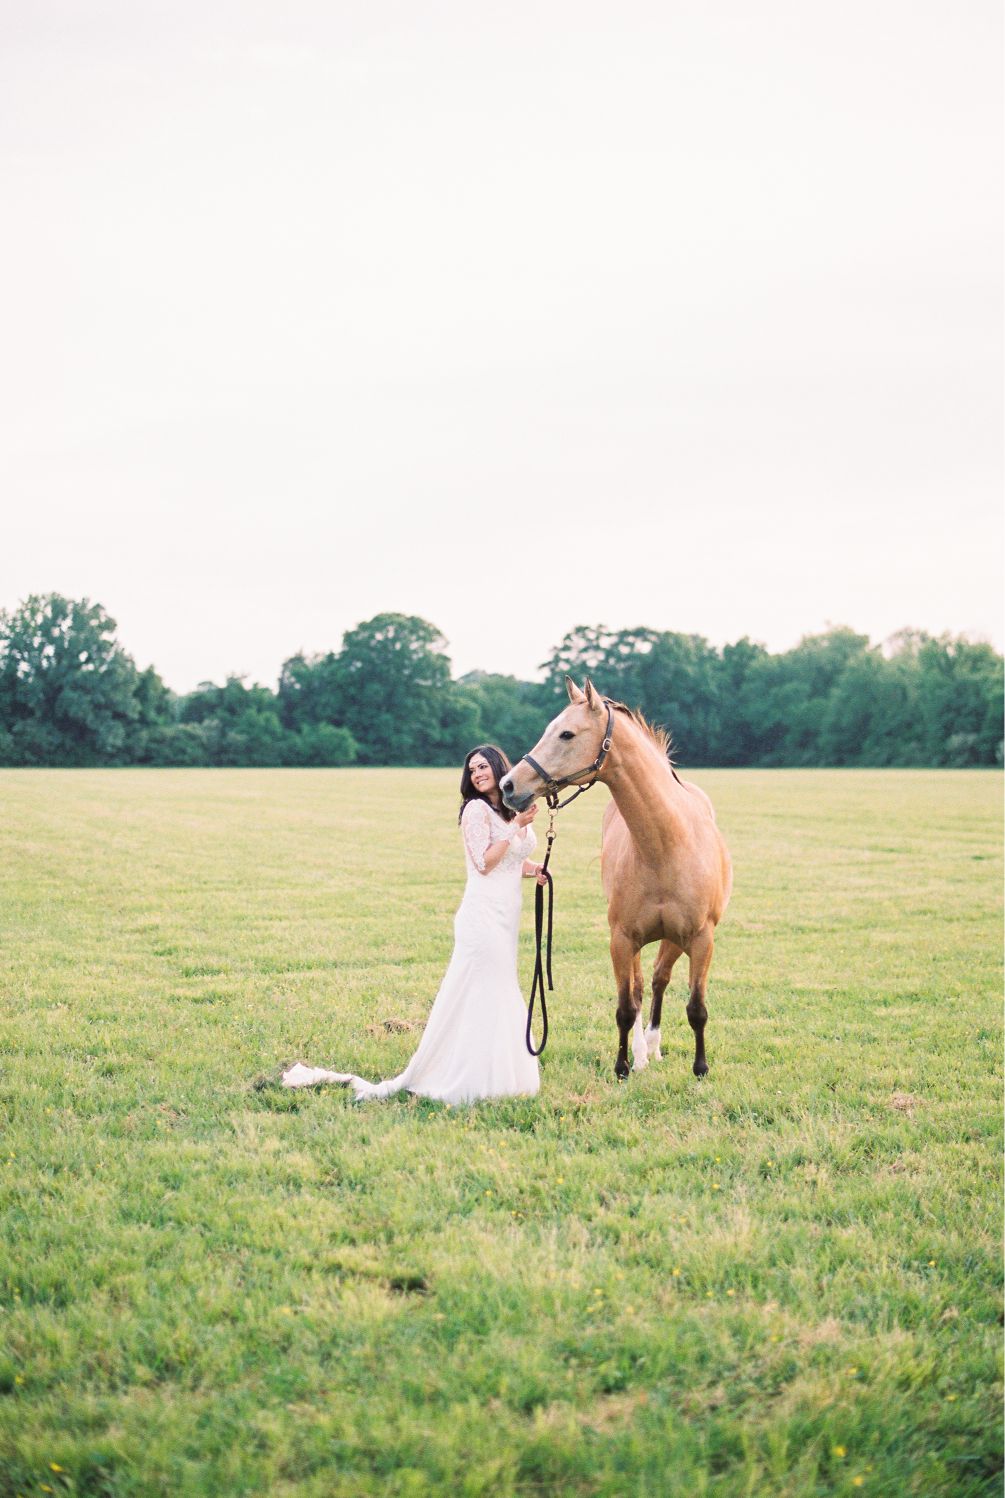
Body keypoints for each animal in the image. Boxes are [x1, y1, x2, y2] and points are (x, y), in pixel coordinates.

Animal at [500, 677, 730, 1078]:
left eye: (566, 734)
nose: (509, 785)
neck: (665, 847)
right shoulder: (622, 940)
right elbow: (626, 1006)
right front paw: (623, 1066)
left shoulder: (701, 939)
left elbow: (696, 1008)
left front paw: (700, 1069)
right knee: (639, 988)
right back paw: (641, 1054)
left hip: (675, 940)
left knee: (659, 980)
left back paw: (653, 1047)